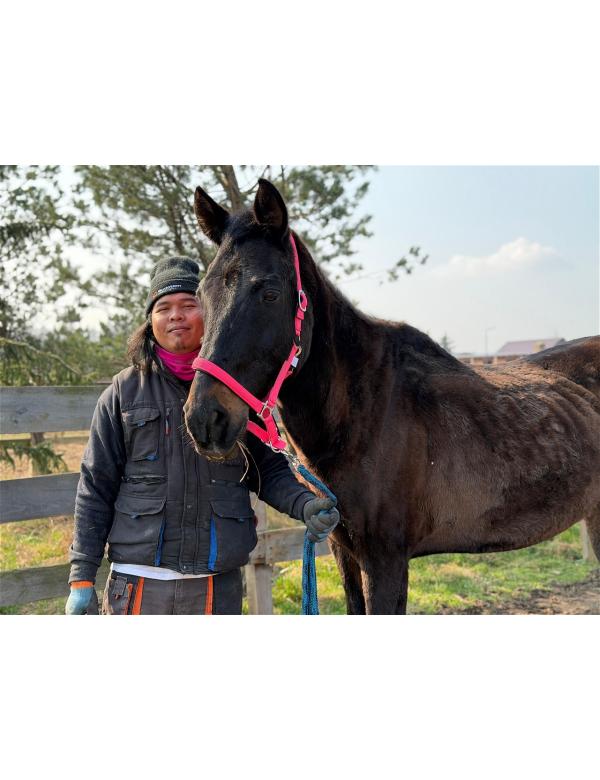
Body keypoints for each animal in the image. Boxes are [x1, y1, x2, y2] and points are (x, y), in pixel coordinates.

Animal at [184, 178, 600, 614]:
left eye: (269, 292)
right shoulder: (343, 551)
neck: (363, 415)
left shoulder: (385, 561)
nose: (205, 419)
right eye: (202, 294)